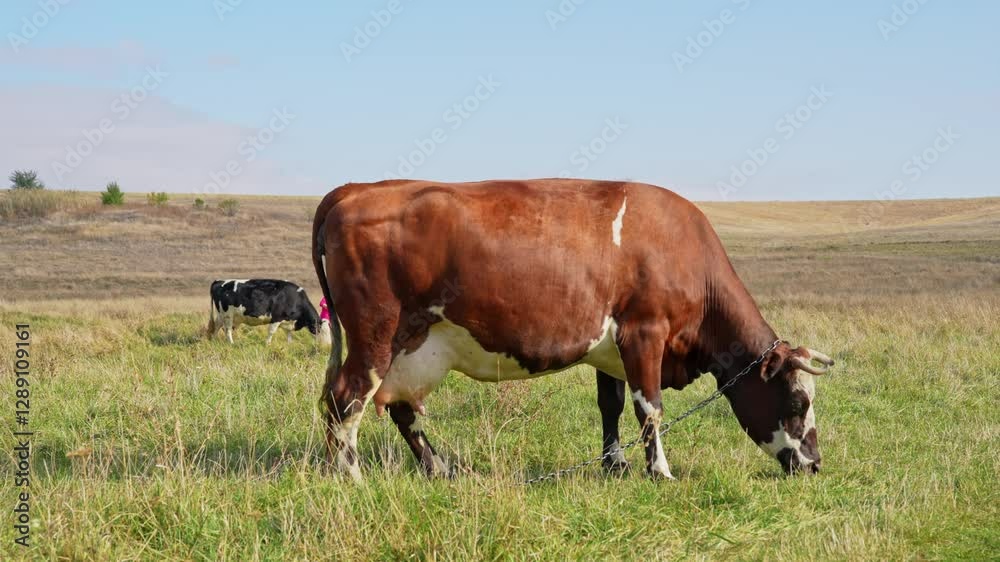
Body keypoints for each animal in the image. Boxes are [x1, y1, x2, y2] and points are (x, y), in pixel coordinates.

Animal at [312, 179, 835, 481]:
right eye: (797, 402)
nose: (814, 464)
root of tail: (353, 189)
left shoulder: (613, 348)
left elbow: (612, 404)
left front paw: (615, 464)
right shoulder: (644, 332)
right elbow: (650, 408)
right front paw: (660, 472)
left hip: (415, 348)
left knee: (400, 411)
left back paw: (441, 470)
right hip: (376, 337)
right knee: (345, 399)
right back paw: (350, 478)